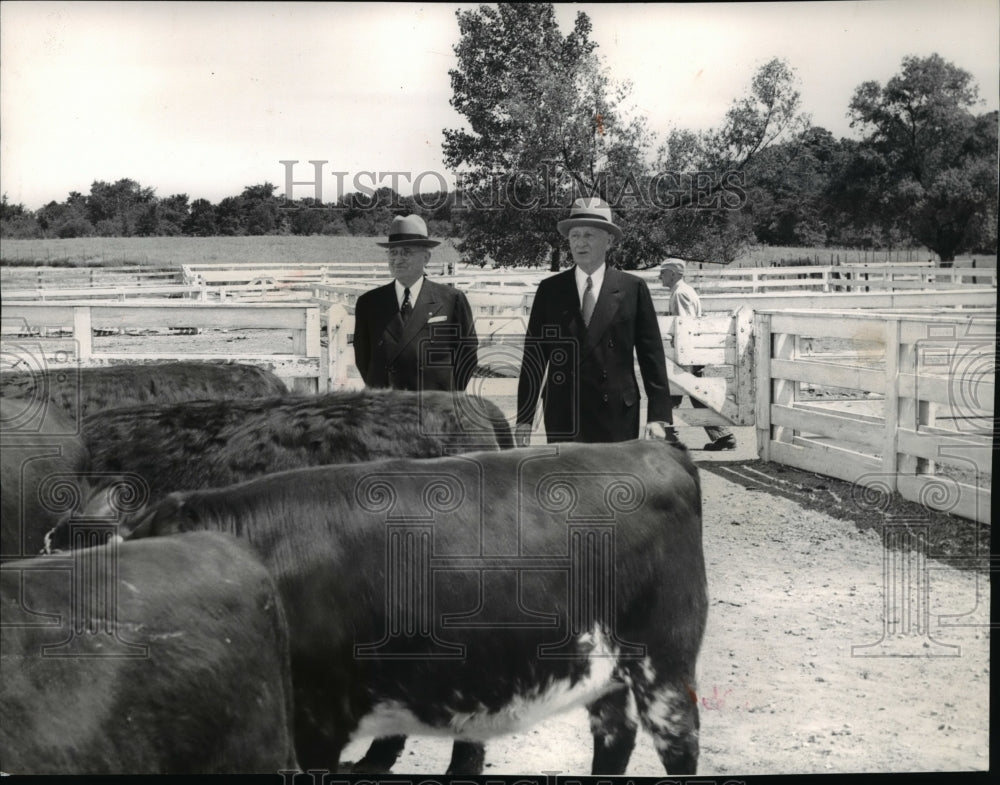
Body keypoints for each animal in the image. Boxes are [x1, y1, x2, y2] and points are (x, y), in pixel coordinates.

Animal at [119, 438, 712, 776]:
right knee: (614, 737)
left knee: (679, 742)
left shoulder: (315, 723)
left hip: (664, 658)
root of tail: (653, 449)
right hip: (603, 666)